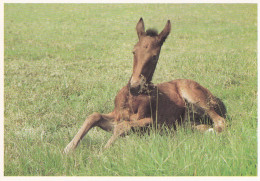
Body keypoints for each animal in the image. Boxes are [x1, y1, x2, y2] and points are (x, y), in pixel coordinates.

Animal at [64, 17, 226, 153]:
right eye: (134, 51)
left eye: (154, 56)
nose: (134, 86)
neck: (132, 99)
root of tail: (215, 98)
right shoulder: (115, 116)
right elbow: (94, 116)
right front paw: (68, 148)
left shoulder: (154, 122)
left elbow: (124, 125)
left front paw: (101, 151)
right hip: (188, 121)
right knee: (201, 126)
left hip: (195, 97)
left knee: (220, 122)